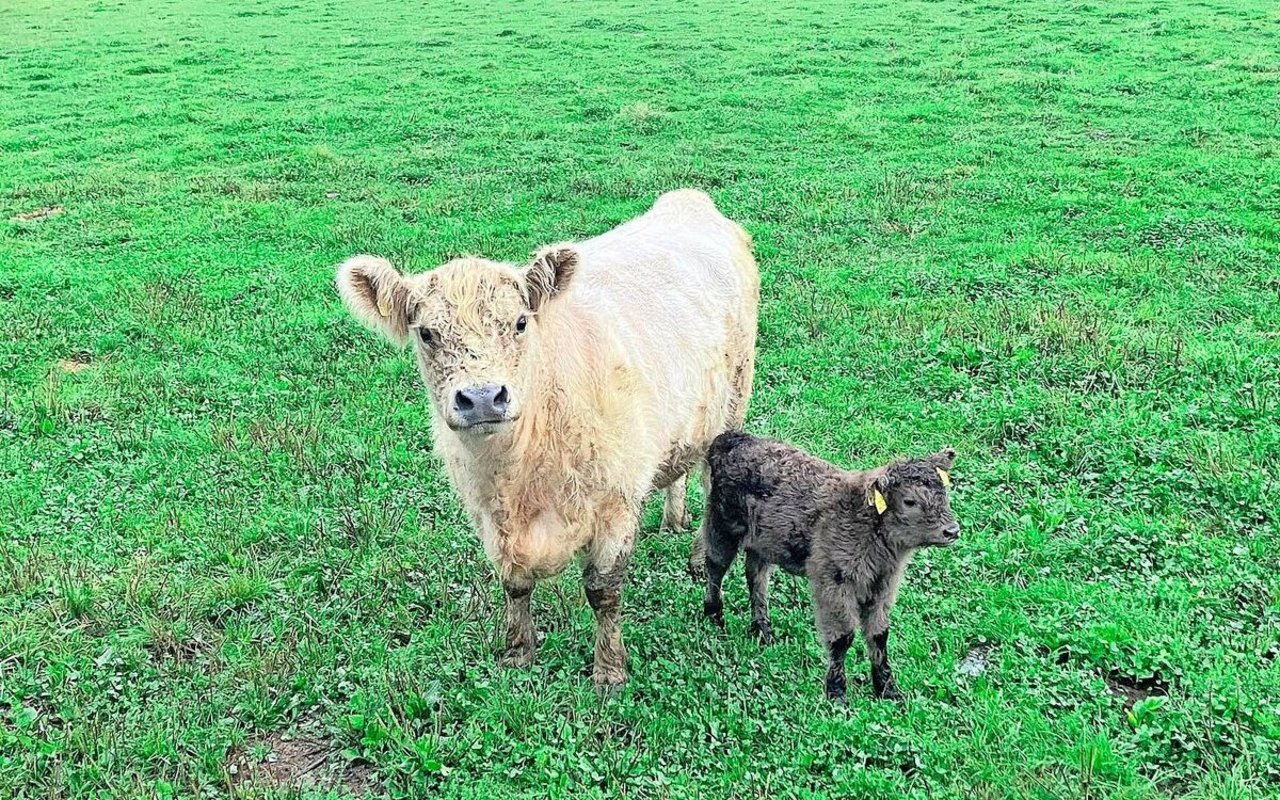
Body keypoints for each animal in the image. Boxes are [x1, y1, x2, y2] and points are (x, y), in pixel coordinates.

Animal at [701, 430, 962, 696]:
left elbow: (879, 635)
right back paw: (714, 615)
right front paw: (836, 692)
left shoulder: (883, 585)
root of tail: (732, 438)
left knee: (756, 578)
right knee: (715, 566)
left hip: (762, 543)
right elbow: (842, 637)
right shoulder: (834, 581)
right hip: (723, 523)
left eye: (944, 493)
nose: (952, 531)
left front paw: (888, 690)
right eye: (909, 501)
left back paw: (763, 630)